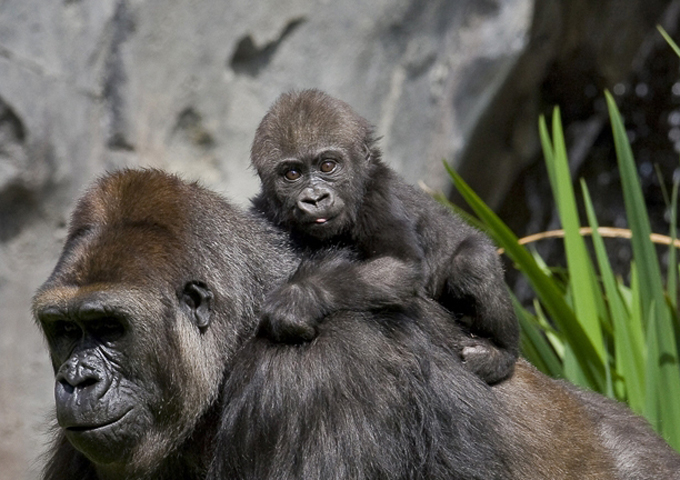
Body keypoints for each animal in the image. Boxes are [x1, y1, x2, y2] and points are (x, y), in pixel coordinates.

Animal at [252, 89, 516, 382]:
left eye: (328, 166)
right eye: (292, 174)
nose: (315, 198)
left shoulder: (377, 196)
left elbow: (400, 264)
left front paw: (301, 297)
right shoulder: (263, 208)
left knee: (473, 261)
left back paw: (502, 353)